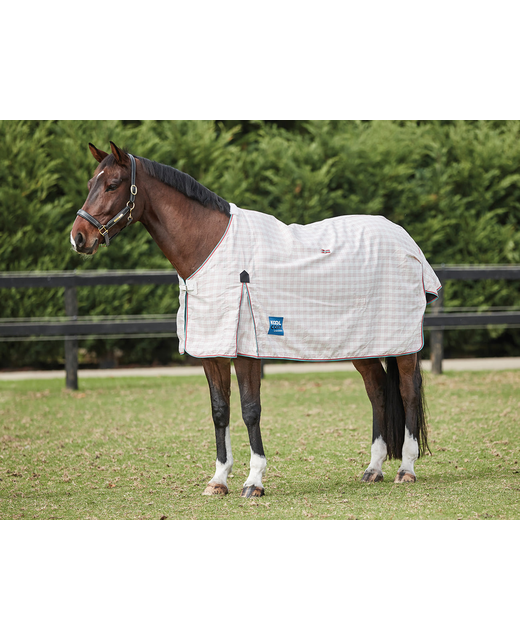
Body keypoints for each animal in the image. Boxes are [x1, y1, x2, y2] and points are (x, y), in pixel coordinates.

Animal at [70, 141, 440, 497]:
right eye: (89, 184)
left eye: (113, 184)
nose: (78, 237)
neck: (209, 247)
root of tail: (405, 239)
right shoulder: (212, 350)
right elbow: (220, 411)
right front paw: (218, 480)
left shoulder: (246, 350)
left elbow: (250, 410)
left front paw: (254, 481)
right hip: (360, 344)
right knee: (377, 391)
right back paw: (374, 468)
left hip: (403, 345)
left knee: (407, 392)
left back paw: (406, 469)